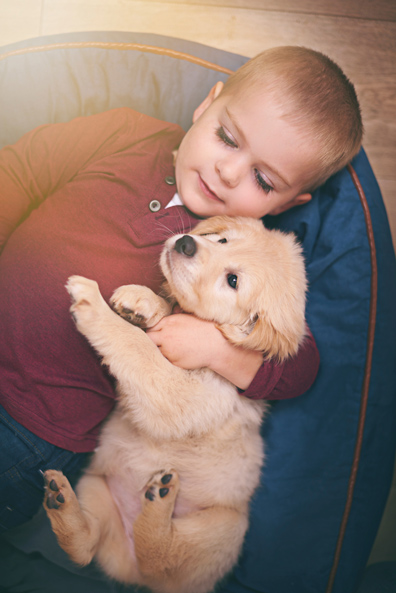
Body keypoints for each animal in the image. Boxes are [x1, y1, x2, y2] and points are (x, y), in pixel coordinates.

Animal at [44, 216, 306, 592]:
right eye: (223, 240)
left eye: (233, 281)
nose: (186, 244)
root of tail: (137, 575)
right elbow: (158, 318)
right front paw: (143, 301)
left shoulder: (185, 395)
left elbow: (137, 346)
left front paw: (94, 305)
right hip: (96, 486)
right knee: (87, 548)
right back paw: (61, 500)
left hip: (226, 528)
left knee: (160, 554)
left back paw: (159, 501)